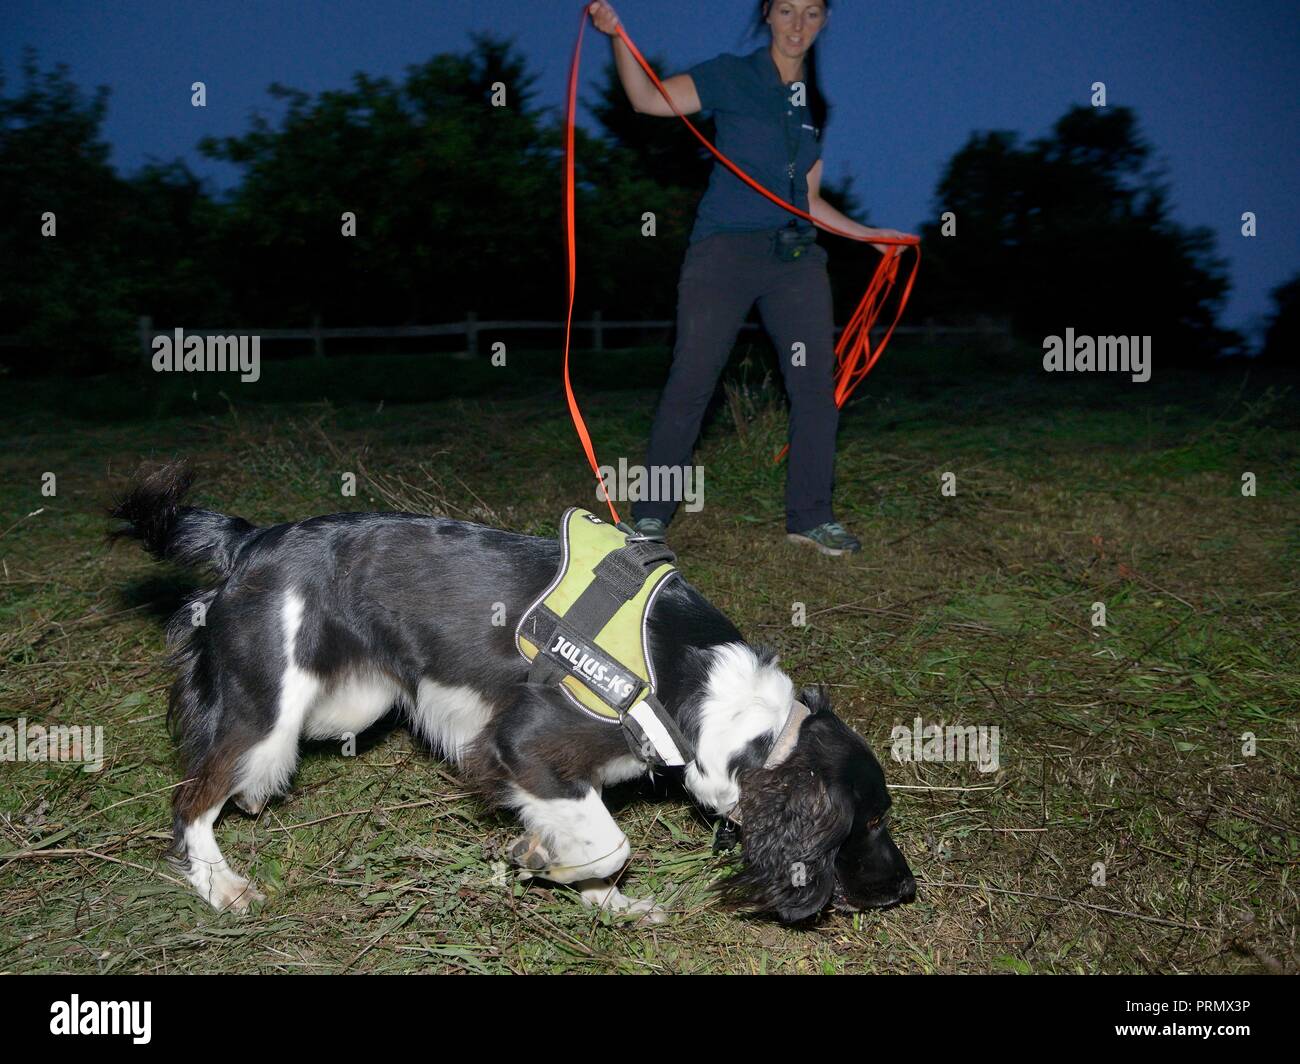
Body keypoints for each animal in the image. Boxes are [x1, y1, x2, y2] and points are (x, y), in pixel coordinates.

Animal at [114, 463, 915, 920]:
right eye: (870, 822)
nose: (908, 890)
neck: (708, 692)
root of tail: (249, 539)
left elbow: (597, 842)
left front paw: (606, 905)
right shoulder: (517, 745)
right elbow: (610, 842)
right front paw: (543, 864)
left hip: (347, 703)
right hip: (267, 712)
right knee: (191, 798)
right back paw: (219, 885)